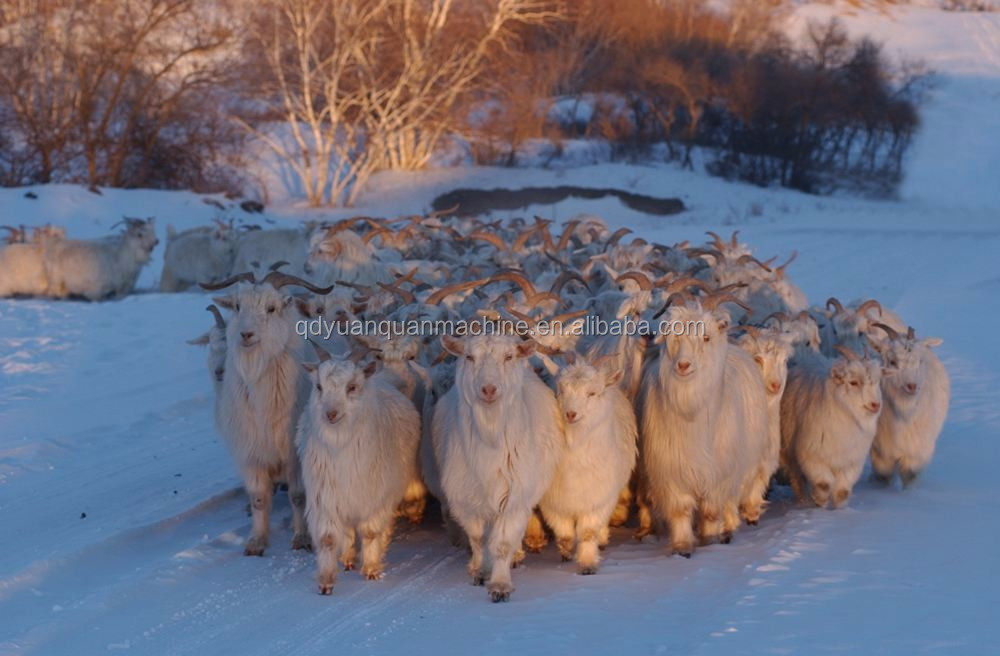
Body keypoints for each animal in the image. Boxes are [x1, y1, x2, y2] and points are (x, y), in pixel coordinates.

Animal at [296, 344, 422, 596]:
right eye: (319, 386)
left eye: (352, 386)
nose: (331, 414)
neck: (340, 447)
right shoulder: (326, 498)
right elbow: (328, 538)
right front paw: (326, 581)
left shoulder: (376, 497)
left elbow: (371, 532)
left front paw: (371, 569)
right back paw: (346, 559)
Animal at [434, 330, 568, 604]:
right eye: (469, 357)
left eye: (508, 356)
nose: (488, 389)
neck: (490, 435)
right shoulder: (466, 498)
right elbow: (478, 539)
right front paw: (480, 571)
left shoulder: (515, 496)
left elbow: (503, 543)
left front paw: (499, 585)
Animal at [540, 354, 640, 576]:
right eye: (561, 390)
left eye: (592, 393)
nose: (570, 414)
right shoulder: (553, 502)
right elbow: (565, 534)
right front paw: (566, 552)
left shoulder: (598, 498)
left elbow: (587, 533)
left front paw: (587, 565)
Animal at [780, 346, 892, 510]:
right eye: (853, 382)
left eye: (878, 381)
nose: (875, 405)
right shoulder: (812, 455)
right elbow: (824, 484)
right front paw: (819, 501)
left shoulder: (851, 461)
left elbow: (842, 492)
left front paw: (838, 510)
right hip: (788, 448)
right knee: (795, 475)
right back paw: (802, 499)